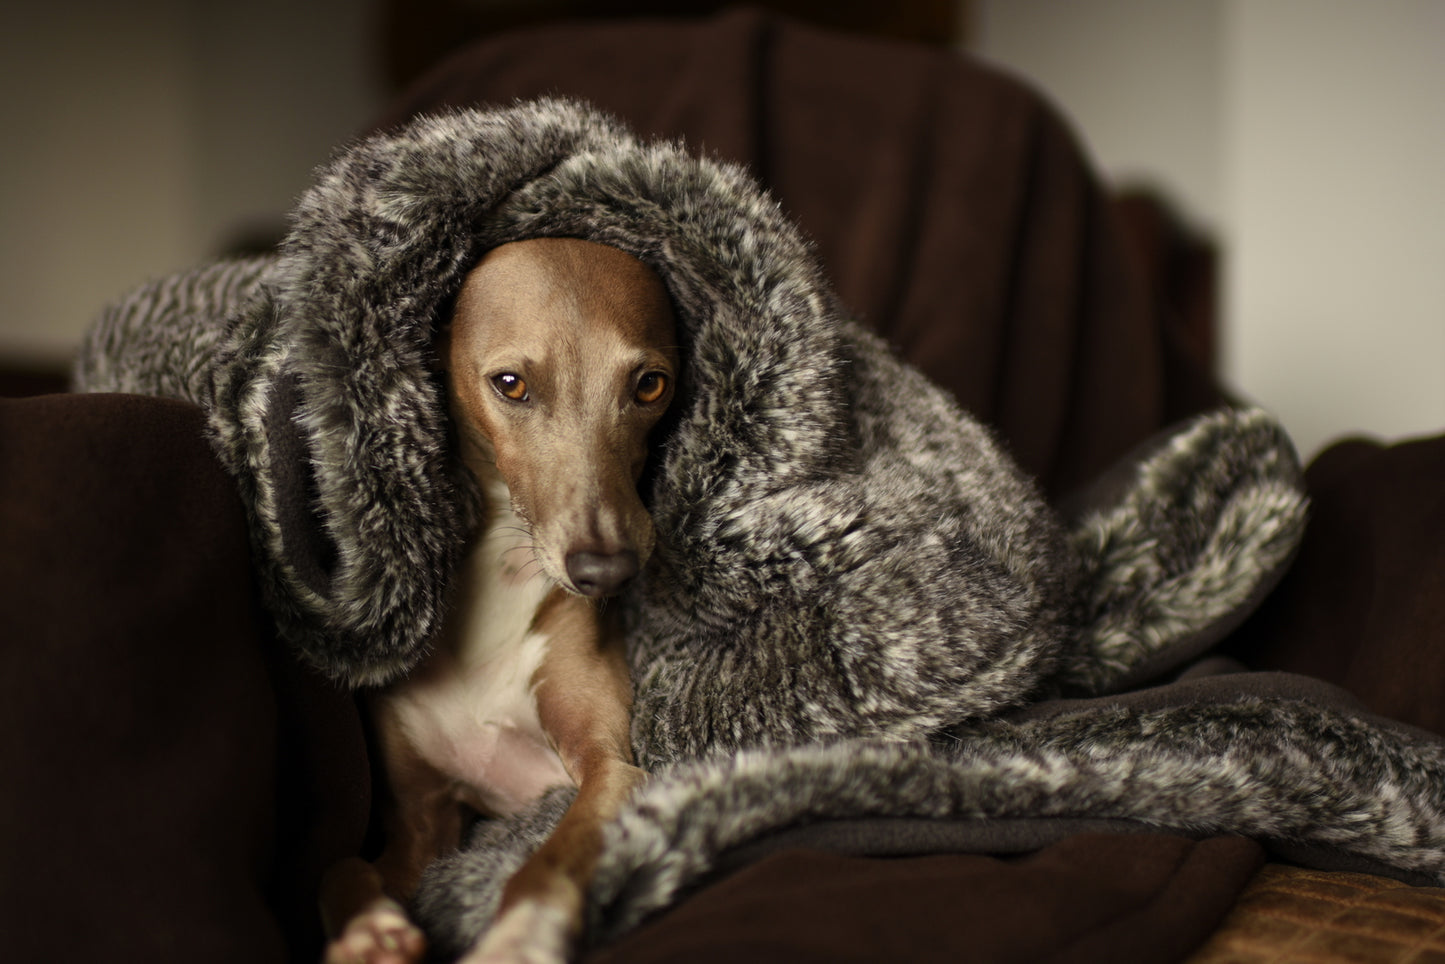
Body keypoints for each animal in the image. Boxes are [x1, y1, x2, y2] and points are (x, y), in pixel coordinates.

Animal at [320, 235, 676, 964]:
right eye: (510, 383)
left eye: (650, 384)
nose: (605, 569)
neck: (502, 584)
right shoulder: (420, 827)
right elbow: (342, 865)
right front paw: (366, 931)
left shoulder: (608, 769)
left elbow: (554, 855)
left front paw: (518, 935)